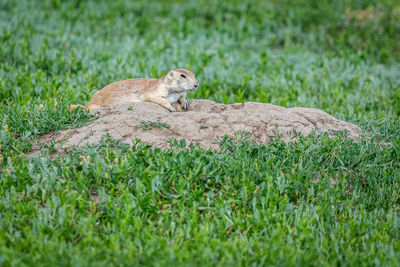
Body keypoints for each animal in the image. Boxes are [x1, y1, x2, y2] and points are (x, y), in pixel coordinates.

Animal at [71, 69, 199, 112]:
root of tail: (88, 104)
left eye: (193, 73)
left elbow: (182, 96)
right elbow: (157, 98)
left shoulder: (180, 92)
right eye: (182, 75)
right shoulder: (158, 90)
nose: (197, 84)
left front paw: (185, 102)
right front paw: (171, 108)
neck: (175, 91)